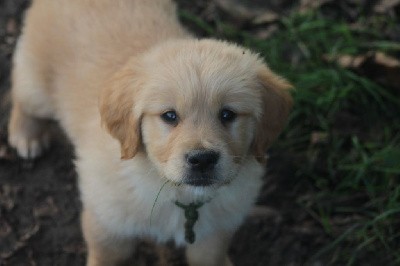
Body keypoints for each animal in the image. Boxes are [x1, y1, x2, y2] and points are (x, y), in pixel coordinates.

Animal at [7, 0, 292, 266]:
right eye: (169, 116)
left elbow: (209, 255)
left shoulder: (216, 229)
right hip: (38, 87)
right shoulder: (107, 221)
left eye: (227, 115)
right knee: (20, 90)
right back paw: (27, 134)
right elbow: (107, 254)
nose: (202, 160)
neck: (177, 193)